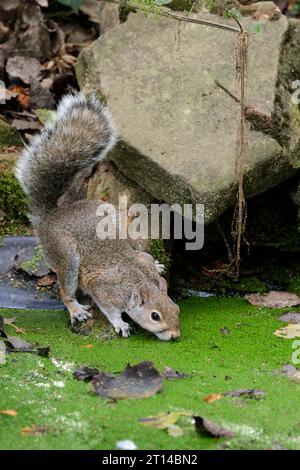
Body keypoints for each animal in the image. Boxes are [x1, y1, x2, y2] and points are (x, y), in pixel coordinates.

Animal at [15, 92, 180, 342]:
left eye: (176, 308)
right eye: (155, 316)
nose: (175, 335)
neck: (137, 281)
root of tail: (51, 216)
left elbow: (144, 257)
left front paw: (156, 263)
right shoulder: (103, 288)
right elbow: (108, 307)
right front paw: (120, 323)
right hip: (66, 253)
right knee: (65, 288)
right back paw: (76, 309)